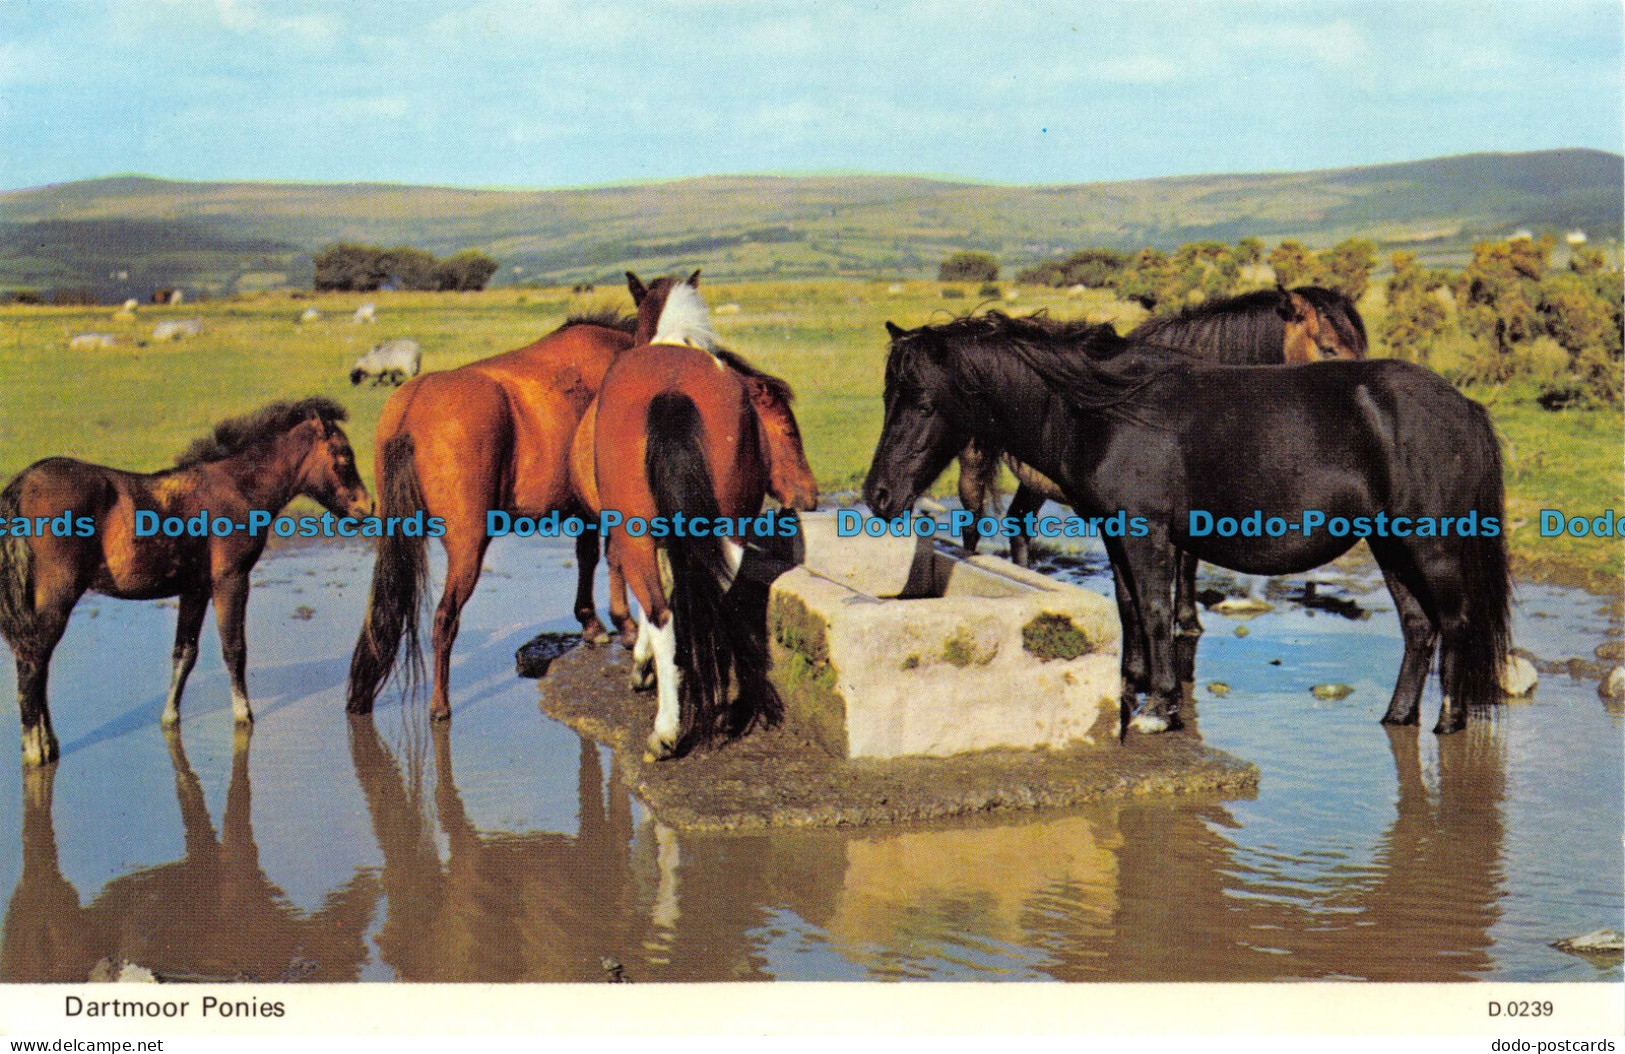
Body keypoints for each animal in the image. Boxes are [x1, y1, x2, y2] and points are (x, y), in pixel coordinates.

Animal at [0, 394, 372, 763]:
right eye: (344, 455)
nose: (367, 507)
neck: (236, 487)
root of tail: (22, 484)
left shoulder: (195, 589)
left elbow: (185, 652)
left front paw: (169, 720)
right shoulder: (231, 580)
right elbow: (234, 649)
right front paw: (244, 716)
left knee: (38, 661)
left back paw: (48, 744)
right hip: (59, 595)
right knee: (33, 659)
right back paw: (35, 748)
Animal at [575, 271, 825, 756]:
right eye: (788, 431)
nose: (810, 495)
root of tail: (671, 389)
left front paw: (643, 667)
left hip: (637, 535)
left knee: (660, 613)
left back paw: (666, 731)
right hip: (729, 528)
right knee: (720, 597)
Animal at [871, 311, 1514, 737]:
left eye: (921, 400)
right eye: (888, 397)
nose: (878, 494)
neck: (1105, 408)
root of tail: (1464, 407)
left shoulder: (1146, 533)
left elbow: (1157, 611)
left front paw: (1159, 707)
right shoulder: (1115, 532)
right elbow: (1129, 605)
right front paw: (1132, 686)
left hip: (1430, 545)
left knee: (1454, 623)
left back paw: (1448, 721)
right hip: (1390, 544)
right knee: (1419, 628)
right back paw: (1398, 716)